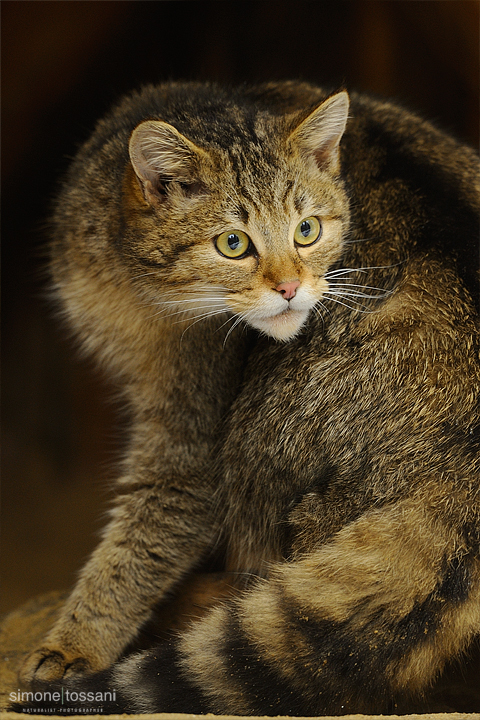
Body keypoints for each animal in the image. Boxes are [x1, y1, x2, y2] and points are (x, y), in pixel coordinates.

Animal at [16, 81, 478, 716]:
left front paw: (73, 644)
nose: (290, 288)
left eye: (307, 231)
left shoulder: (189, 445)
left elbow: (140, 539)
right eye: (232, 244)